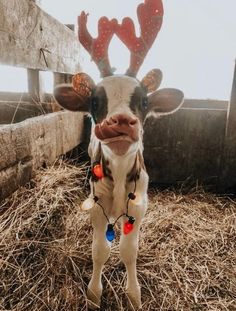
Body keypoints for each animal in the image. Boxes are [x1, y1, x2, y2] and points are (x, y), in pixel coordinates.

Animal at [54, 0, 183, 310]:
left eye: (145, 101)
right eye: (95, 101)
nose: (121, 121)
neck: (122, 178)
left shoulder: (139, 205)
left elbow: (128, 250)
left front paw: (134, 295)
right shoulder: (97, 202)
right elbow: (100, 249)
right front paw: (93, 293)